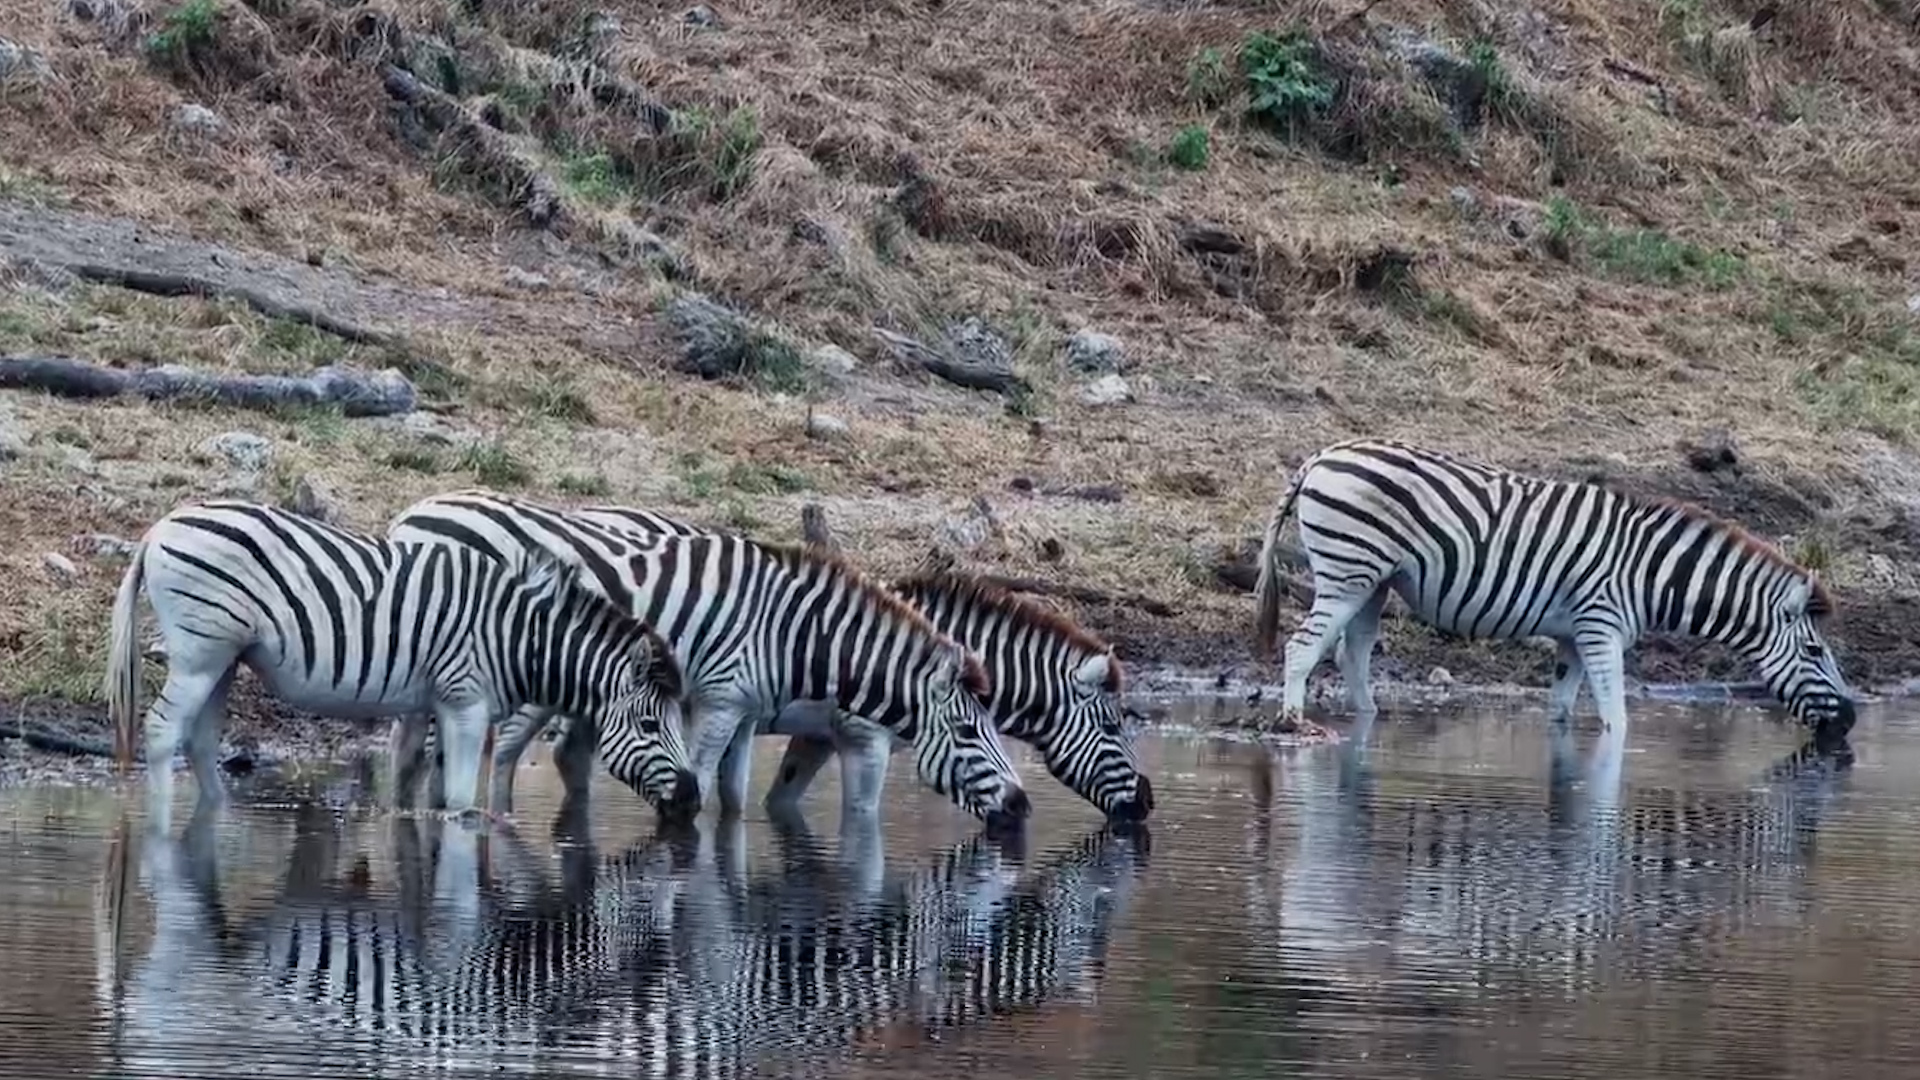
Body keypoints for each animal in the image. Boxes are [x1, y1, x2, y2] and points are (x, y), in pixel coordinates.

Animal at [104, 500, 701, 828]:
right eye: (651, 725)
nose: (694, 802)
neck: (517, 636)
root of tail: (160, 528)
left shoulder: (435, 701)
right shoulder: (465, 701)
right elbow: (459, 802)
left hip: (224, 657)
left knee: (200, 739)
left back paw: (217, 810)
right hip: (199, 652)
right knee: (162, 730)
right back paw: (158, 820)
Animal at [402, 502, 1152, 824]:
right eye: (1114, 727)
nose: (1146, 804)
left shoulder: (809, 735)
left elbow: (771, 797)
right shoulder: (858, 738)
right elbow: (860, 812)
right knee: (495, 755)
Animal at [1252, 438, 1857, 739]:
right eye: (1814, 651)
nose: (1850, 722)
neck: (1653, 575)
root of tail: (1323, 455)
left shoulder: (1572, 636)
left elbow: (1563, 706)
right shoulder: (1601, 626)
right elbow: (1616, 716)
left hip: (1375, 580)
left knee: (1352, 652)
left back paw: (1369, 719)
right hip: (1347, 571)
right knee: (1303, 647)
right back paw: (1292, 724)